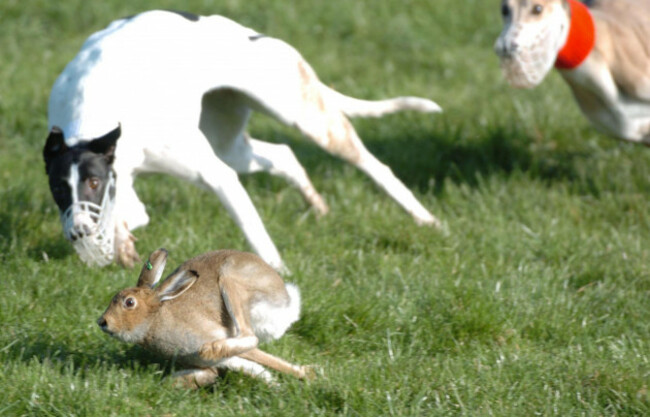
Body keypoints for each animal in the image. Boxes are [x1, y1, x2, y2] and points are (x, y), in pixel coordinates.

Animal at [97, 248, 311, 387]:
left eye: (129, 302)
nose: (102, 322)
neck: (154, 318)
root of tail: (287, 300)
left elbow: (259, 356)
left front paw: (303, 375)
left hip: (231, 281)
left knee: (250, 336)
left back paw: (212, 349)